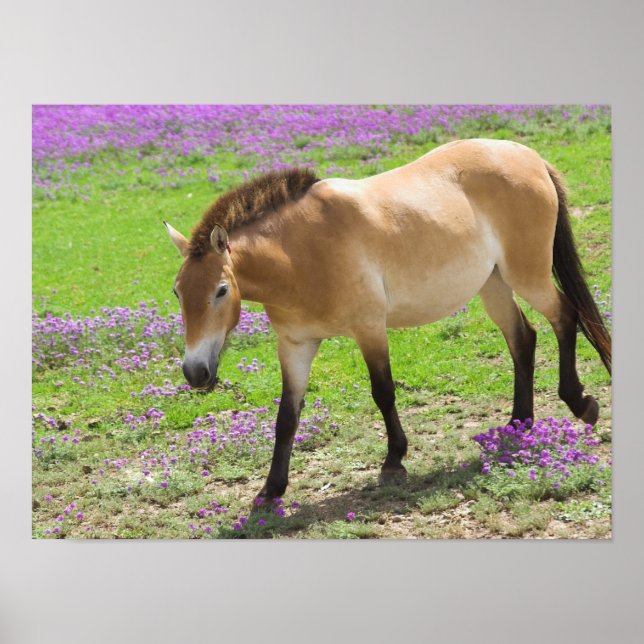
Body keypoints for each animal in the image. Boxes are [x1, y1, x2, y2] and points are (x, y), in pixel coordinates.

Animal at [164, 138, 611, 504]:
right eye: (177, 292)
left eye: (221, 290)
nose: (195, 372)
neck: (299, 255)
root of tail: (529, 157)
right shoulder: (295, 346)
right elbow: (287, 416)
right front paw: (271, 489)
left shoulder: (369, 329)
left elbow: (383, 393)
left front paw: (394, 460)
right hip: (494, 283)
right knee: (523, 338)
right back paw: (519, 424)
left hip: (527, 276)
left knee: (565, 318)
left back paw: (580, 403)